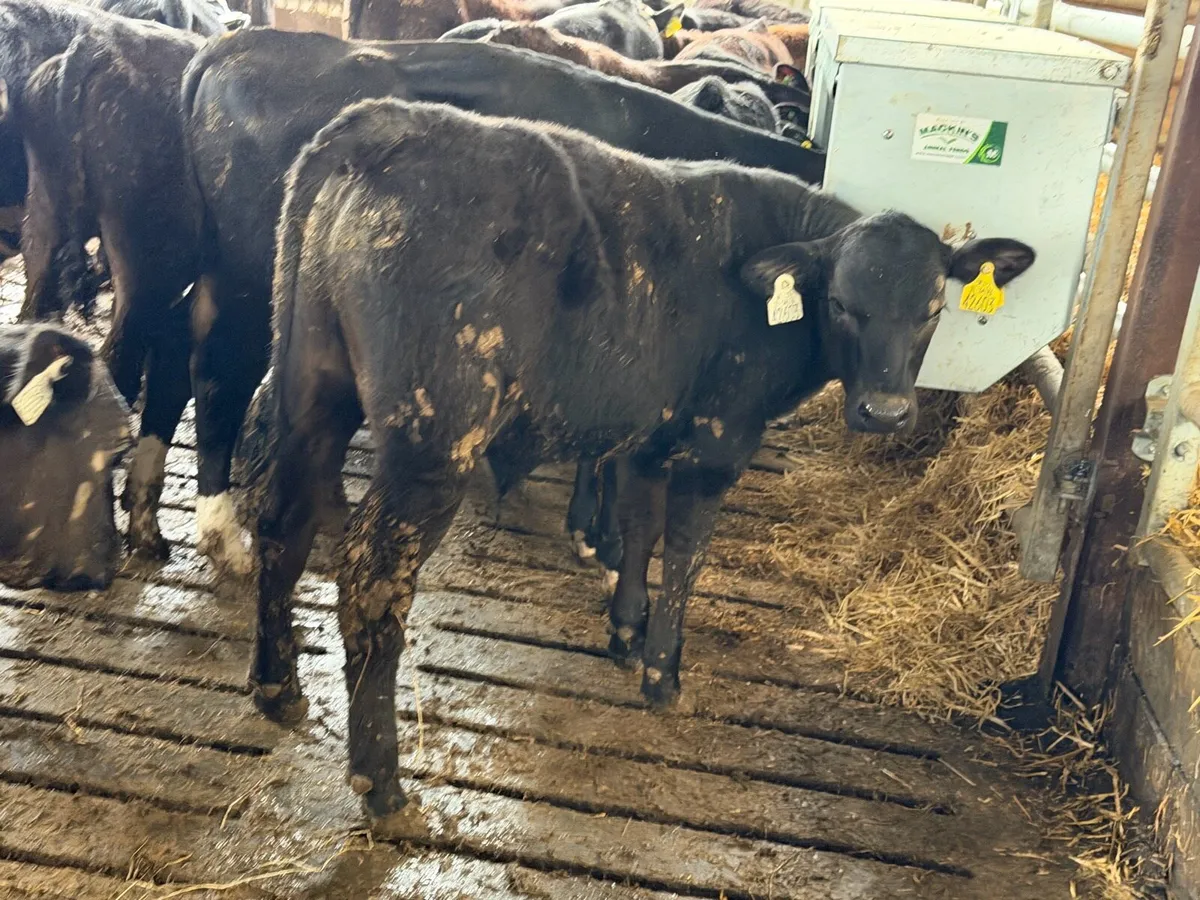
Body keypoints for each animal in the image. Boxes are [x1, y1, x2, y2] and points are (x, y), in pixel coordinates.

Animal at [244, 97, 1035, 830]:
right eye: (841, 303)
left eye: (933, 308)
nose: (886, 413)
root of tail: (383, 122)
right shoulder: (718, 441)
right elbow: (684, 550)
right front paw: (663, 672)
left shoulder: (646, 436)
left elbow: (638, 528)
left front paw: (625, 631)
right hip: (434, 441)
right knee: (372, 580)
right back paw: (380, 782)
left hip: (309, 391)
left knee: (280, 521)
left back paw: (277, 687)